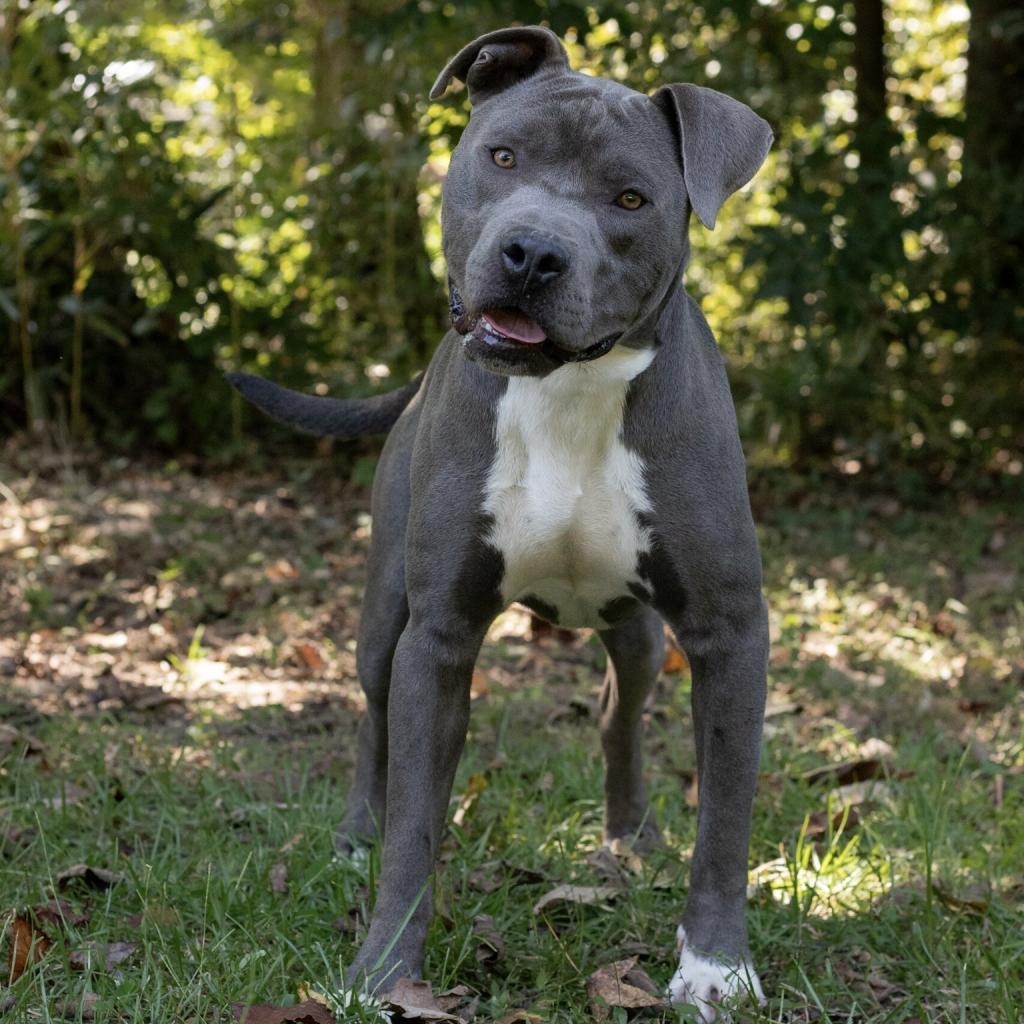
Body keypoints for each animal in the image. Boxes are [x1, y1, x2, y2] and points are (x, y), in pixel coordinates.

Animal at [228, 25, 770, 1024]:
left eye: (629, 197)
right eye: (504, 156)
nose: (531, 253)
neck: (567, 387)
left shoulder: (728, 632)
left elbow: (725, 817)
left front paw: (715, 967)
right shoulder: (438, 633)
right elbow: (416, 822)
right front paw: (382, 972)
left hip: (637, 631)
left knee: (621, 710)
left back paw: (629, 838)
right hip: (383, 615)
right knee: (371, 721)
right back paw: (354, 836)